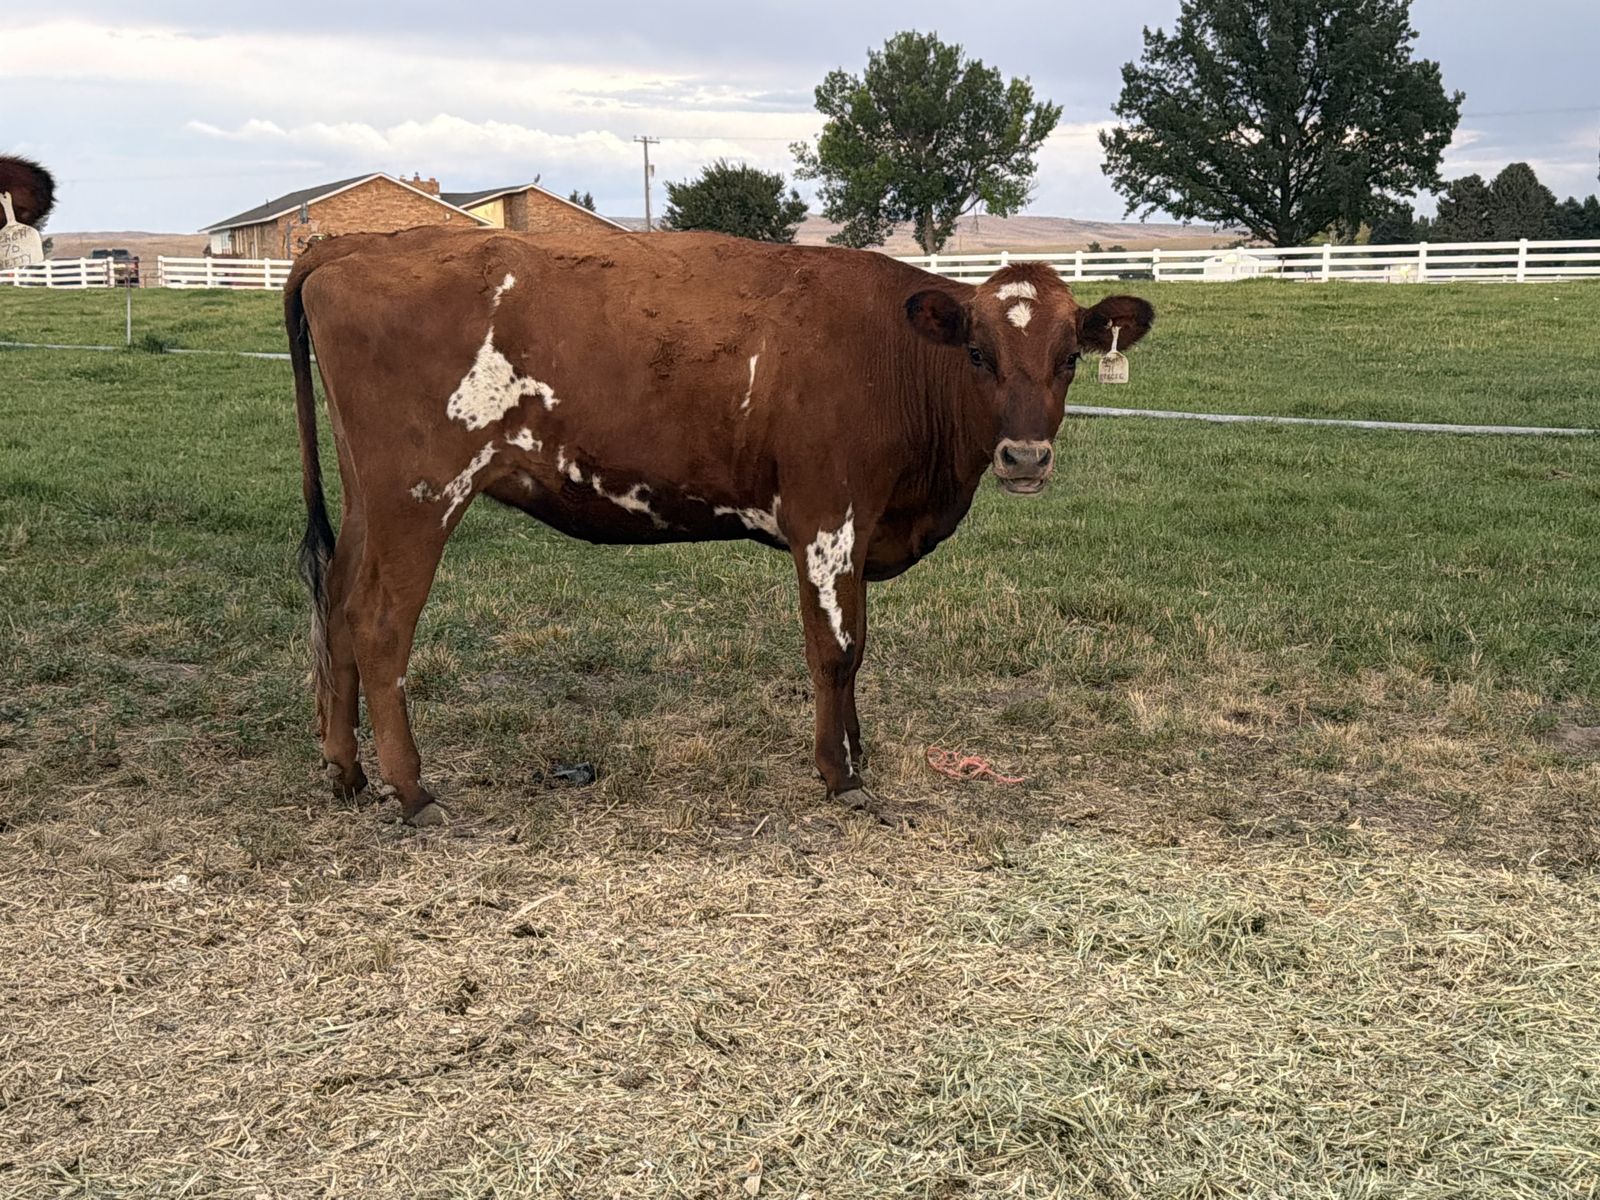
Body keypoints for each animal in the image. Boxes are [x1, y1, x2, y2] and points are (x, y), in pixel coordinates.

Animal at [286, 226, 1153, 825]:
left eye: (1070, 358)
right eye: (977, 353)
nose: (1025, 456)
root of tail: (352, 244)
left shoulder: (861, 527)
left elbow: (857, 647)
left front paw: (856, 752)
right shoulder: (827, 517)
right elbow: (836, 649)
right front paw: (840, 775)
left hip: (369, 499)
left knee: (338, 603)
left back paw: (346, 770)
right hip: (420, 495)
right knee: (380, 625)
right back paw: (412, 790)